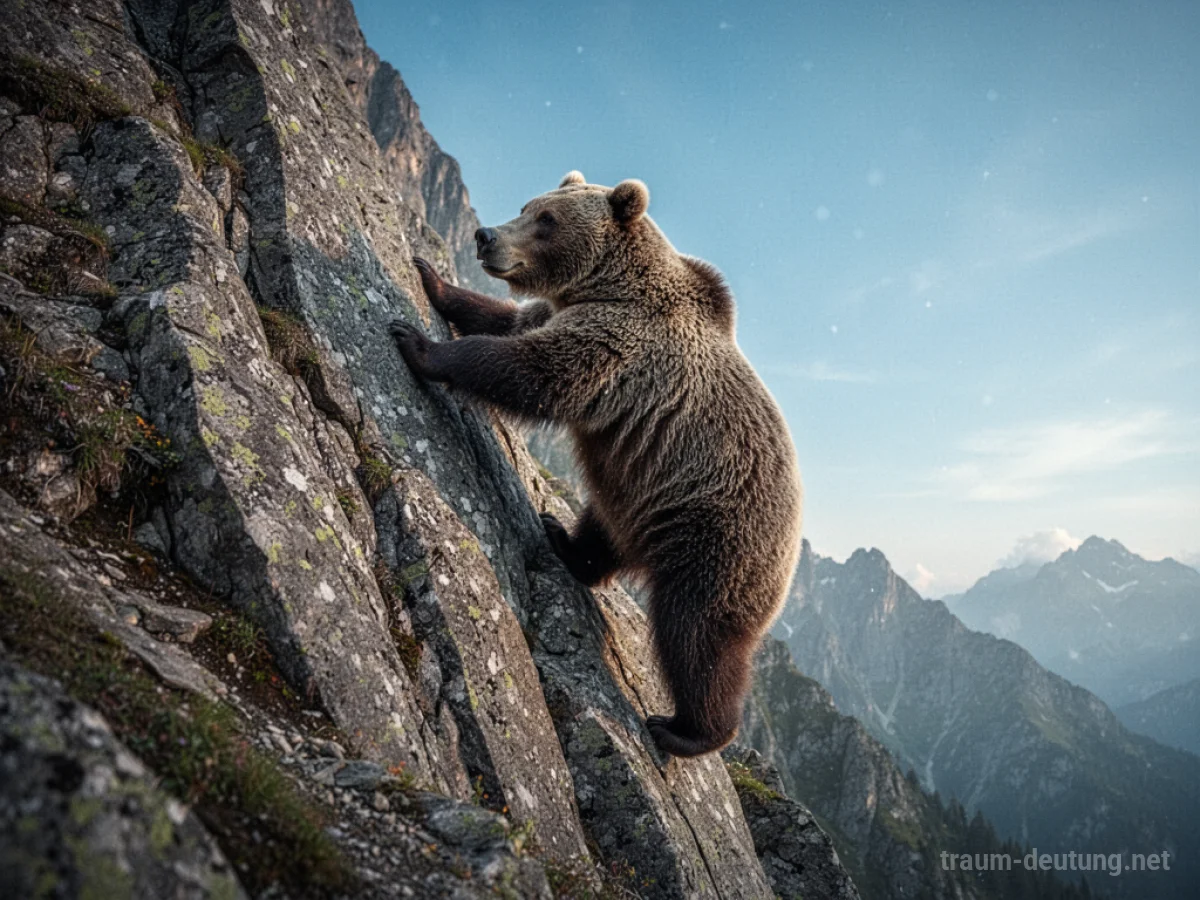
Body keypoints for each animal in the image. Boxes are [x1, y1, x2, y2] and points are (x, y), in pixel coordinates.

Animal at [390, 171, 803, 757]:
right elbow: (511, 323)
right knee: (602, 529)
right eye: (529, 205)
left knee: (695, 636)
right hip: (635, 495)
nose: (486, 236)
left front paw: (419, 344)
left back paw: (688, 731)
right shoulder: (564, 312)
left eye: (547, 220)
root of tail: (790, 560)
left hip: (714, 539)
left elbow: (529, 369)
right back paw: (559, 537)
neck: (607, 285)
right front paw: (433, 277)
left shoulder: (619, 344)